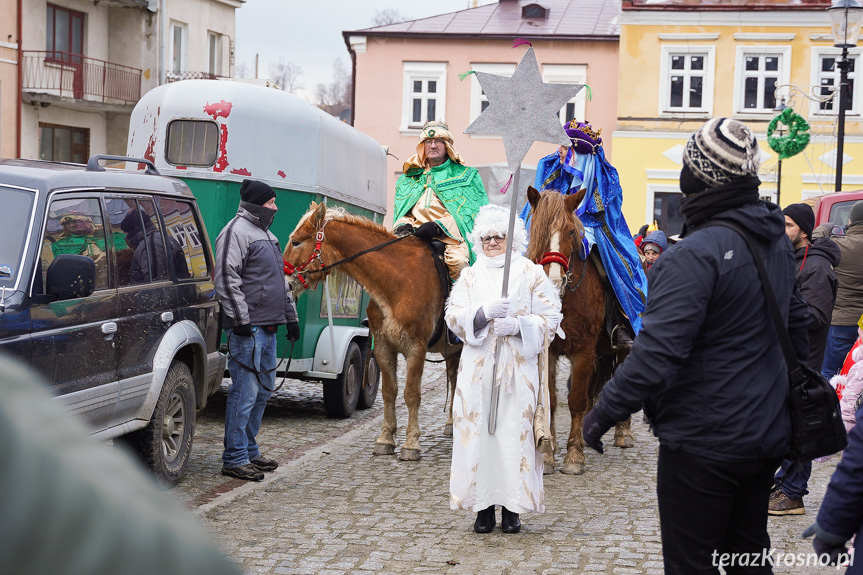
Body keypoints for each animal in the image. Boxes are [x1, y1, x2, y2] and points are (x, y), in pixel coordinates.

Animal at [284, 200, 460, 462]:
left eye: (296, 241)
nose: (286, 284)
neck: (397, 280)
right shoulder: (384, 347)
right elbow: (389, 391)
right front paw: (386, 439)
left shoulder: (416, 348)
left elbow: (411, 394)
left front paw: (411, 444)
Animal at [524, 187, 632, 474]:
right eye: (537, 227)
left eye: (571, 231)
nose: (553, 280)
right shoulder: (548, 351)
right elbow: (550, 399)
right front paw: (548, 456)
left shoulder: (584, 350)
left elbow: (576, 400)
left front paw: (574, 457)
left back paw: (623, 433)